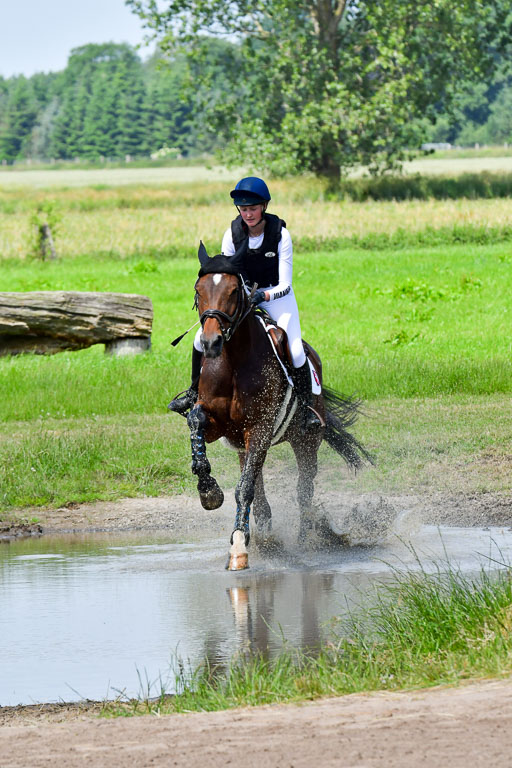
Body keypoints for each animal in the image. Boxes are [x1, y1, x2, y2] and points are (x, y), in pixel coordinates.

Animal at [171, 242, 370, 570]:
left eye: (233, 291)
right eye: (199, 290)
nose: (211, 343)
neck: (233, 362)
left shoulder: (261, 428)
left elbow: (245, 489)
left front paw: (239, 546)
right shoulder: (219, 426)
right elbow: (197, 423)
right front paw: (208, 491)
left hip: (305, 441)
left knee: (303, 490)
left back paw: (305, 540)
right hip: (244, 446)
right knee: (260, 488)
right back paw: (266, 537)